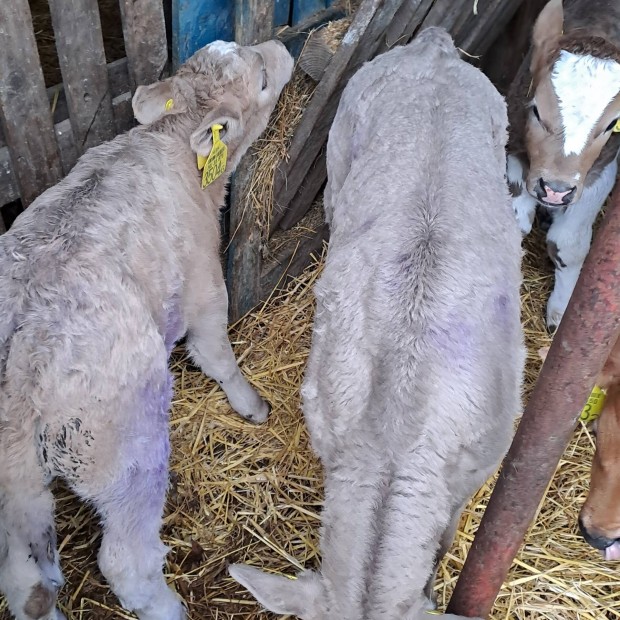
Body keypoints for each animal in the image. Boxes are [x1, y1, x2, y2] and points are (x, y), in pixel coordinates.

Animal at [0, 38, 294, 620]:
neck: (172, 148)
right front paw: (252, 405)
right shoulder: (205, 285)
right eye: (262, 79)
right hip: (125, 452)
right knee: (125, 564)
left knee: (27, 587)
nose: (281, 46)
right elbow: (217, 356)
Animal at [506, 0, 620, 330]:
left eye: (612, 124)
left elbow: (569, 244)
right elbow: (516, 221)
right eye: (536, 111)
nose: (555, 190)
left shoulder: (602, 169)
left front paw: (562, 312)